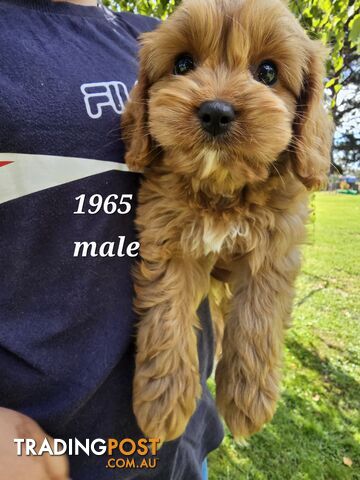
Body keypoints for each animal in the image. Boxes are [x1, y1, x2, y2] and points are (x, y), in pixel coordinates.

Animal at [122, 0, 334, 442]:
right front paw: (163, 398)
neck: (223, 189)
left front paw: (247, 397)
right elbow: (167, 312)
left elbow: (258, 316)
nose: (215, 112)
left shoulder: (276, 247)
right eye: (183, 64)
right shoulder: (167, 236)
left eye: (267, 72)